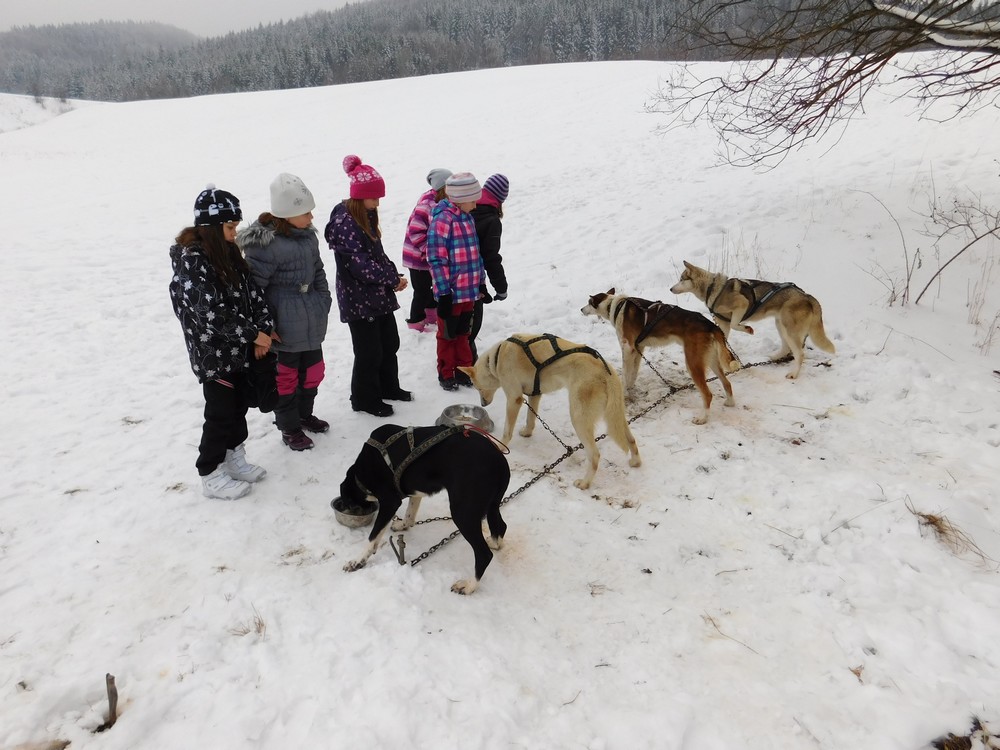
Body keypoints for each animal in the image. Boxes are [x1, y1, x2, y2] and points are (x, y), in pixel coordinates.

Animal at [337, 423, 510, 595]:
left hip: (463, 512)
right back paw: (494, 543)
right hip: (491, 505)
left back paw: (469, 585)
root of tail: (500, 461)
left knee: (484, 554)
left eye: (349, 504)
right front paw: (403, 524)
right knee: (501, 526)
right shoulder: (414, 490)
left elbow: (372, 538)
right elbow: (410, 514)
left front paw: (357, 561)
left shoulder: (390, 502)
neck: (361, 472)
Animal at [458, 333, 641, 490]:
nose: (483, 403)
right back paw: (635, 461)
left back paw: (585, 483)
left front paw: (500, 446)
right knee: (631, 440)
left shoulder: (514, 399)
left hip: (579, 419)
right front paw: (527, 432)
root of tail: (606, 372)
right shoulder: (534, 394)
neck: (496, 358)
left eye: (477, 387)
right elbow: (530, 419)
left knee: (595, 456)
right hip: (617, 417)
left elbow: (507, 431)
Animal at [581, 289, 738, 424]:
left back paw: (702, 418)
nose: (581, 309)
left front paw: (624, 393)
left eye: (589, 302)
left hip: (693, 364)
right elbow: (633, 374)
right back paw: (730, 402)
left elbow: (625, 375)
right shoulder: (637, 349)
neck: (615, 306)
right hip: (711, 360)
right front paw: (630, 390)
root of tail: (710, 325)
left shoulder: (627, 348)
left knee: (708, 394)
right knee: (727, 383)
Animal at [669, 261, 835, 379]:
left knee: (799, 354)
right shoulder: (723, 326)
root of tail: (808, 297)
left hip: (790, 330)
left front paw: (747, 329)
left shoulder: (741, 304)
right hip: (781, 325)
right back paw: (774, 357)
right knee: (786, 347)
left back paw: (793, 373)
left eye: (681, 279)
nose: (670, 289)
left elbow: (736, 324)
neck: (712, 288)